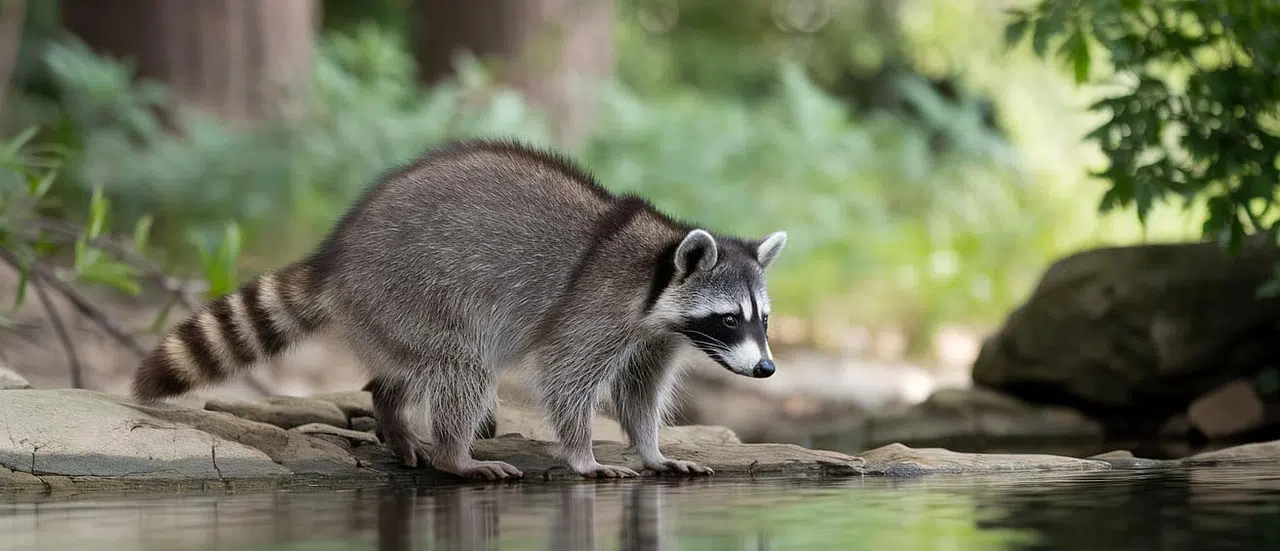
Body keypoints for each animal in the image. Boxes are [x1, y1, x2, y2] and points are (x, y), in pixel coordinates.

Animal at [131, 139, 788, 481]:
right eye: (730, 318)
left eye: (762, 318)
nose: (766, 370)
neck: (657, 270)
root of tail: (336, 258)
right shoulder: (597, 308)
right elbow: (567, 383)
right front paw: (582, 454)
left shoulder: (655, 335)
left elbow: (640, 392)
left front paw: (651, 448)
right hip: (411, 290)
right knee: (461, 365)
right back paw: (455, 455)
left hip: (388, 309)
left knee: (404, 369)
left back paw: (392, 413)